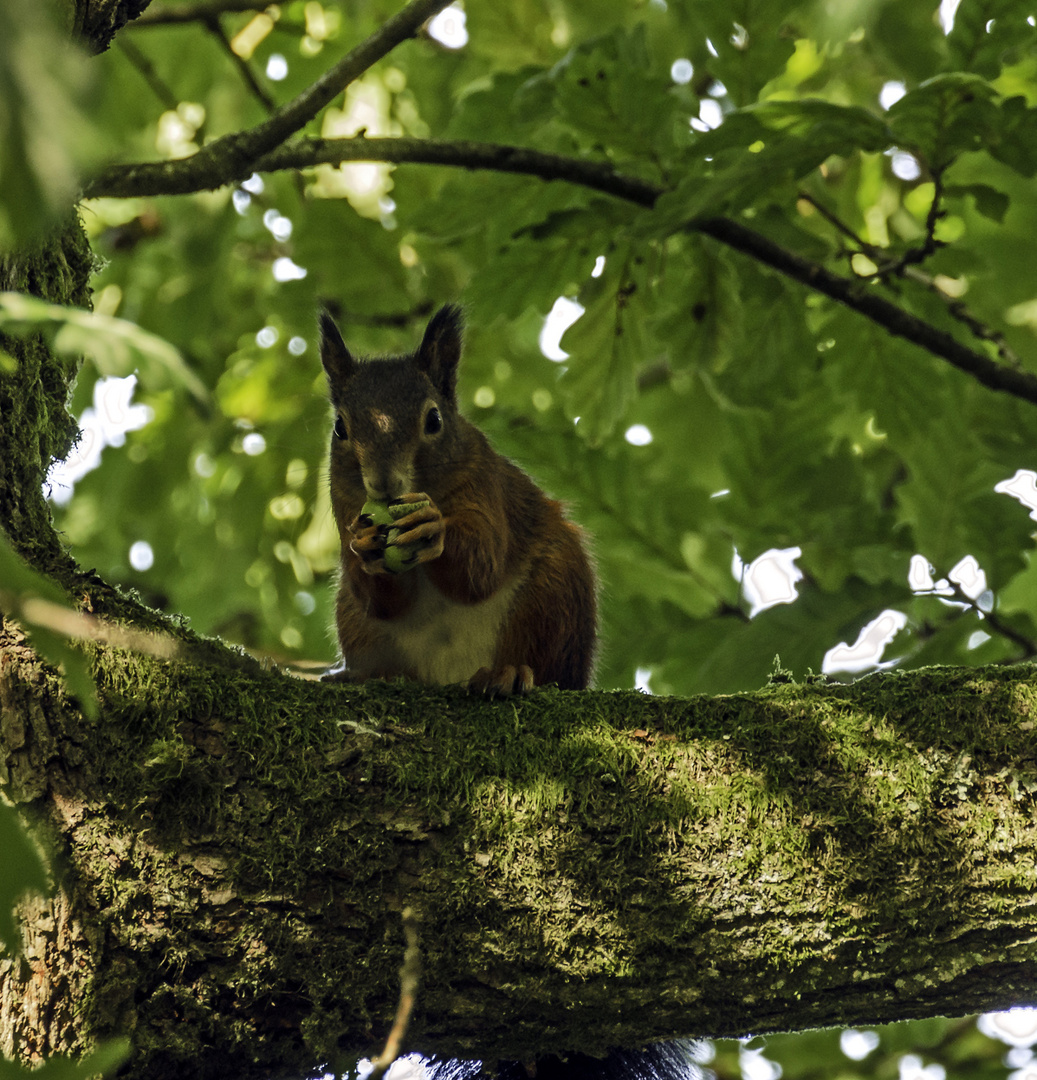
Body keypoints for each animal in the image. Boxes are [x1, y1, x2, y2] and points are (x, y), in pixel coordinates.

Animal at [321, 306, 600, 691]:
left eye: (434, 420)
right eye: (339, 428)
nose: (383, 482)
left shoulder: (482, 480)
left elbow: (481, 568)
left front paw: (432, 528)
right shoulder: (344, 502)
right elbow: (384, 604)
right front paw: (364, 544)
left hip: (554, 594)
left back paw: (509, 672)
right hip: (356, 622)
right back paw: (366, 675)